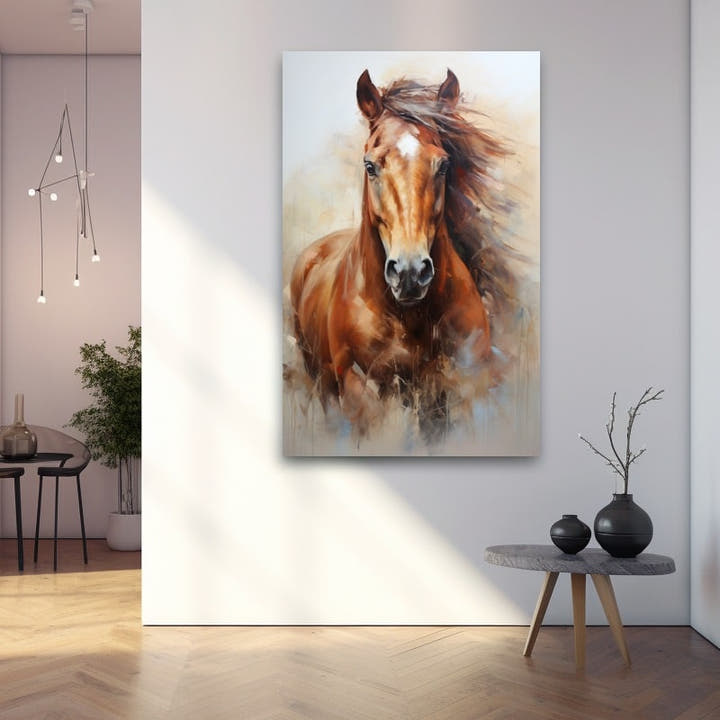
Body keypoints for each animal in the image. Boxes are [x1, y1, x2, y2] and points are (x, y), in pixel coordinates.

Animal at [289, 68, 517, 442]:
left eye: (443, 165)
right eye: (370, 166)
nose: (410, 273)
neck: (406, 317)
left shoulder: (444, 391)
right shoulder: (359, 392)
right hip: (323, 384)